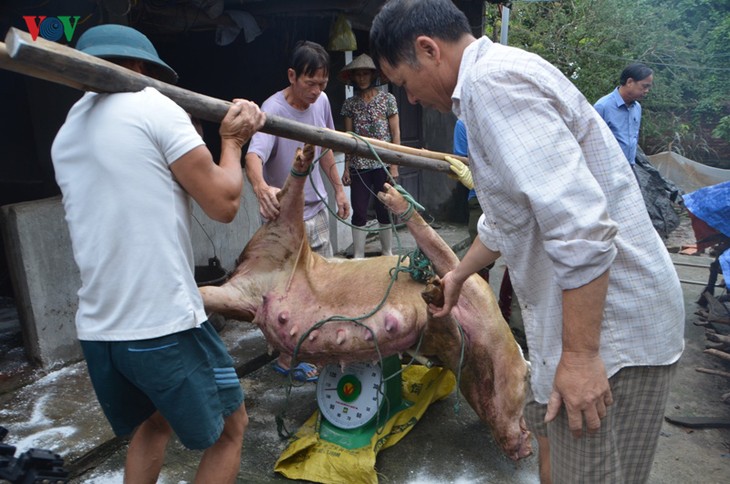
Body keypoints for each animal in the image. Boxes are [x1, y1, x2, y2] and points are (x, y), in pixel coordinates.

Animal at [199, 145, 528, 462]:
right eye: (526, 380)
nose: (525, 448)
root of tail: (249, 271)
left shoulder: (456, 345)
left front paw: (433, 297)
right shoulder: (475, 292)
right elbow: (443, 253)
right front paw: (393, 197)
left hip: (245, 291)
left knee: (213, 295)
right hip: (280, 236)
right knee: (290, 198)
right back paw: (309, 156)